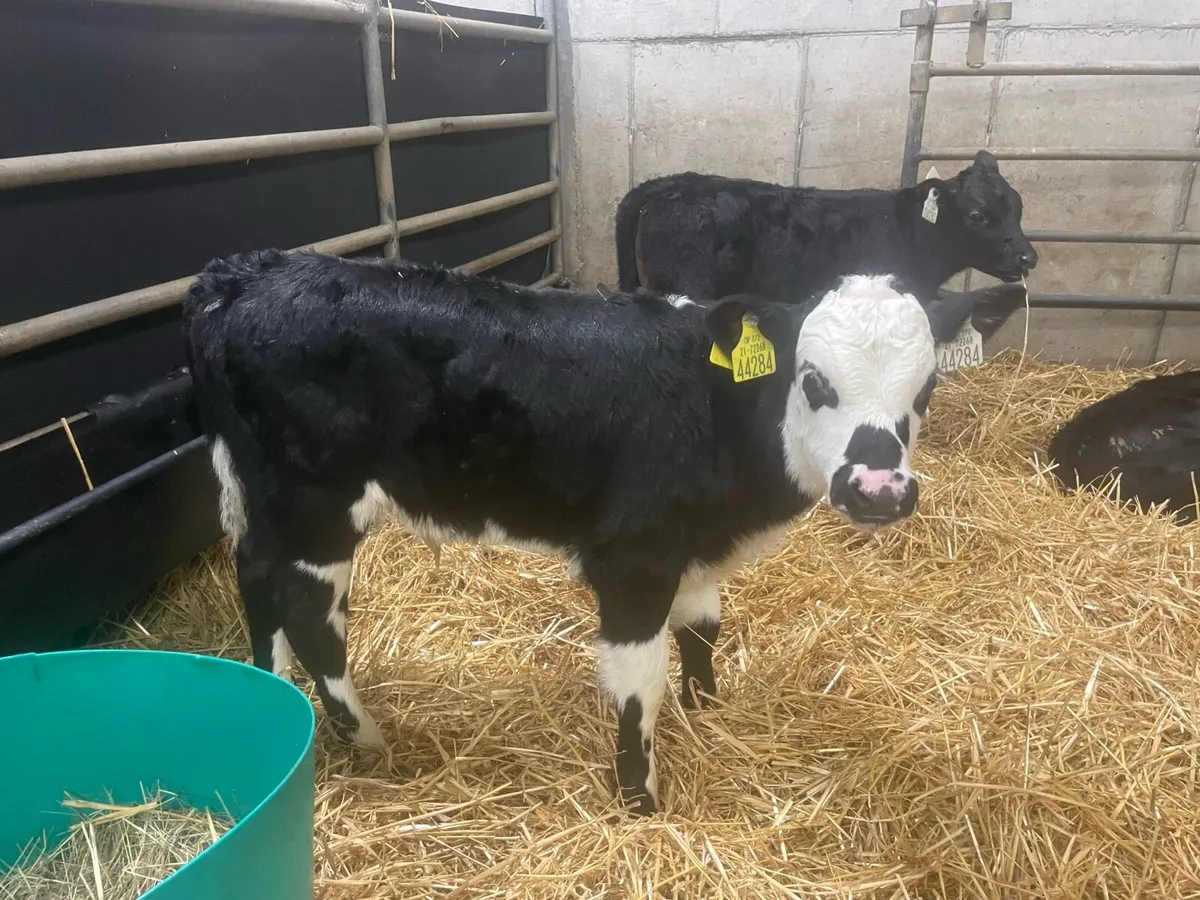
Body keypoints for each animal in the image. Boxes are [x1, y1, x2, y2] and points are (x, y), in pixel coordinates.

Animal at [183, 250, 946, 816]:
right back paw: (371, 741)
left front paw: (707, 710)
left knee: (256, 578)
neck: (711, 410)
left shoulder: (690, 548)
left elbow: (703, 629)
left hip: (258, 496)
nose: (879, 490)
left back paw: (270, 690)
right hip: (315, 506)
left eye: (927, 388)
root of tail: (248, 274)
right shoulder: (634, 558)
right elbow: (640, 682)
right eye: (814, 380)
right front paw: (640, 798)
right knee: (312, 618)